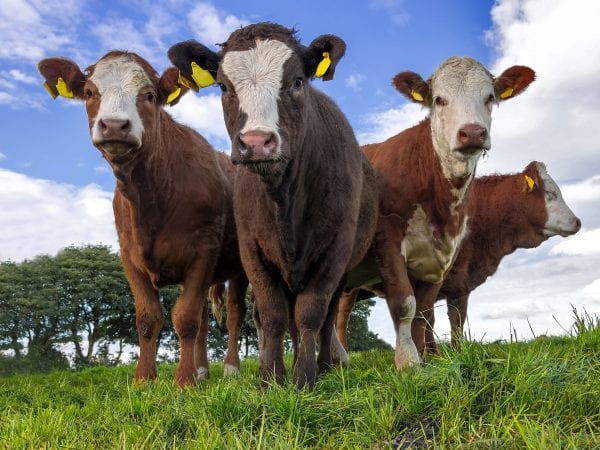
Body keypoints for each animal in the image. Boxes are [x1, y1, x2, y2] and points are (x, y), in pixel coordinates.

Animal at [166, 22, 378, 386]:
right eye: (223, 85)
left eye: (297, 81)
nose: (256, 142)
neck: (284, 201)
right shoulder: (252, 249)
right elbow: (273, 313)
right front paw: (271, 377)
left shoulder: (335, 250)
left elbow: (312, 313)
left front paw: (305, 376)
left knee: (328, 316)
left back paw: (326, 363)